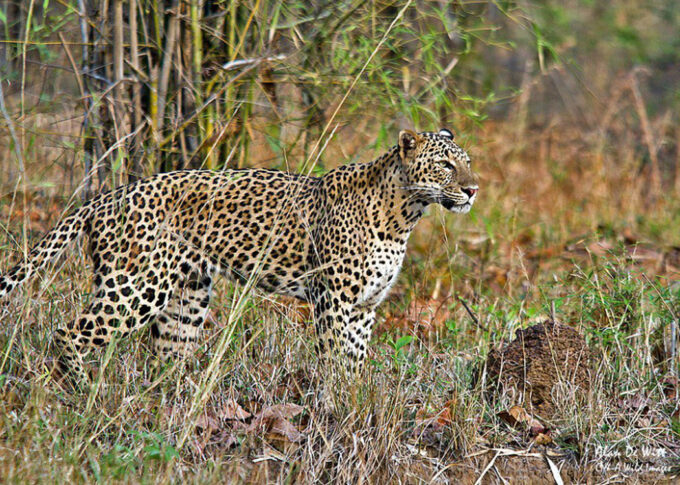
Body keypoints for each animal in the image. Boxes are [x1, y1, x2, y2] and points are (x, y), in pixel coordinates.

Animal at [0, 128, 479, 385]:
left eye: (467, 162)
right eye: (445, 166)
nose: (473, 189)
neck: (404, 214)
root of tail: (105, 196)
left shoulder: (365, 306)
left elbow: (356, 361)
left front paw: (357, 399)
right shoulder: (334, 301)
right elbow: (334, 358)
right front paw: (337, 405)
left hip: (186, 298)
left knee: (166, 356)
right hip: (136, 287)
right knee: (67, 331)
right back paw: (82, 390)